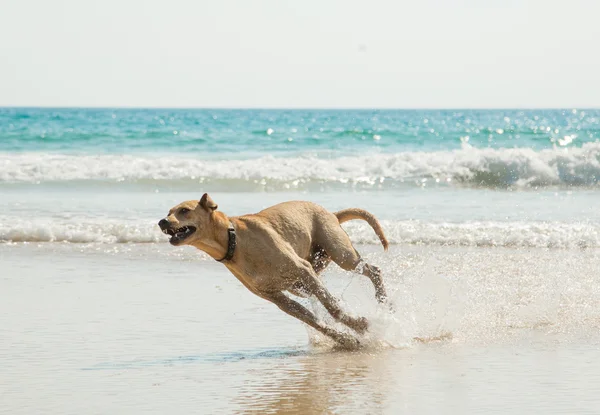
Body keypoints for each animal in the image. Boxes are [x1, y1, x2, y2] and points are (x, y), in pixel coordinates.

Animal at [157, 194, 390, 348]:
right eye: (168, 212)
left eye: (184, 210)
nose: (162, 221)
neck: (234, 242)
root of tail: (332, 214)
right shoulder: (277, 298)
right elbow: (314, 320)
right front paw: (345, 338)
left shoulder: (302, 269)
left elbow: (332, 307)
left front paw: (358, 325)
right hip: (305, 278)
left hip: (340, 253)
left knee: (373, 270)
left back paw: (384, 300)